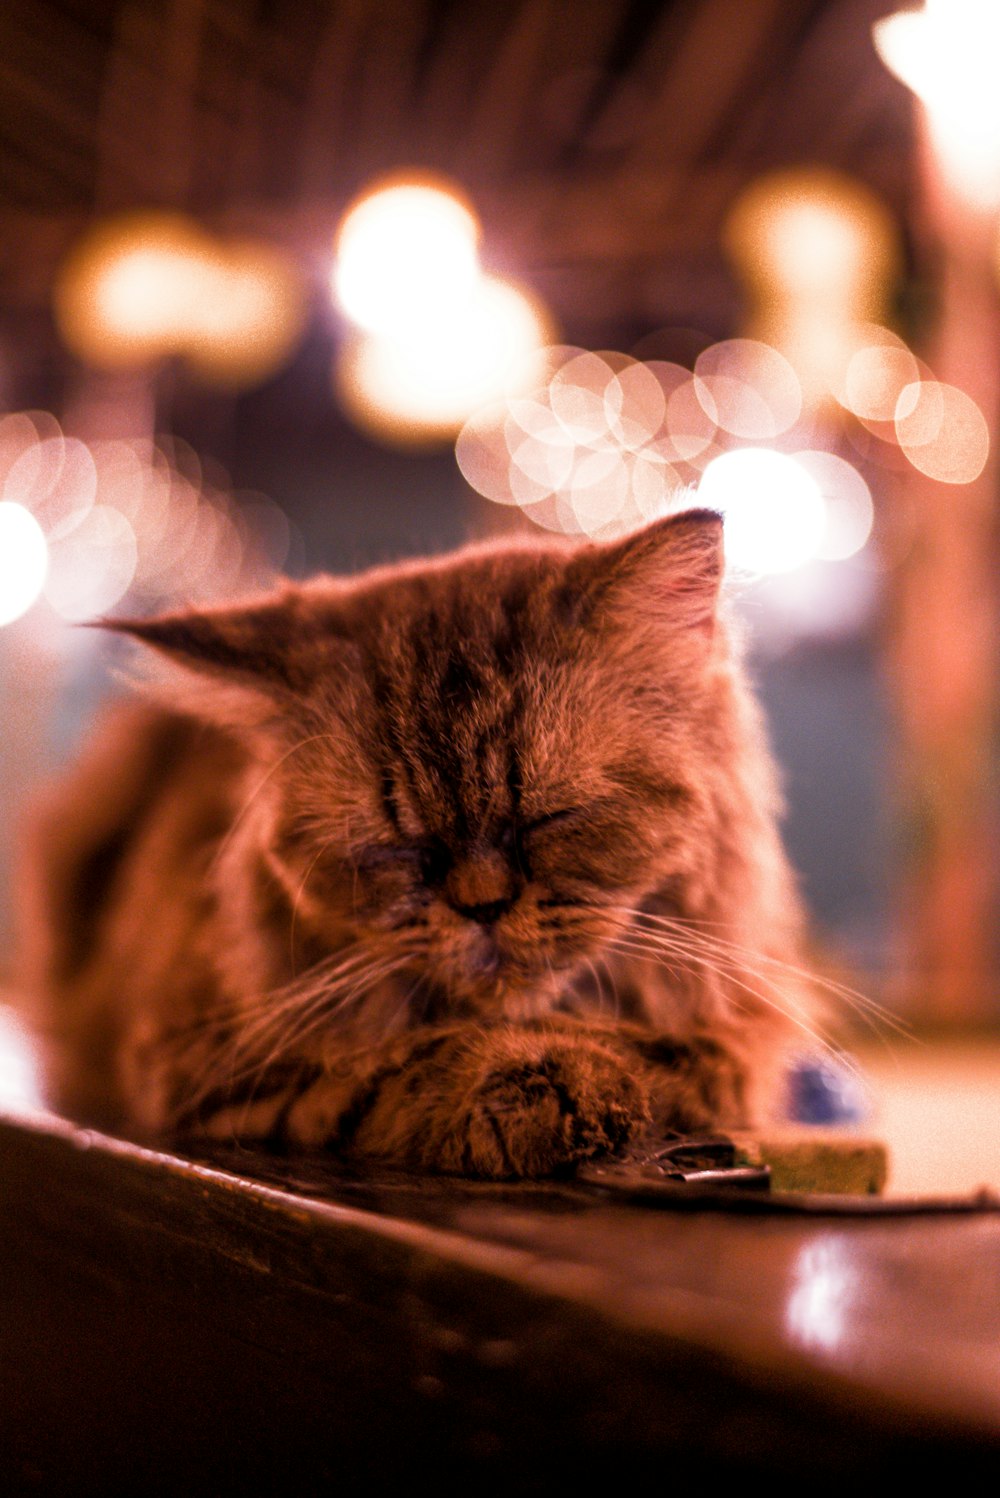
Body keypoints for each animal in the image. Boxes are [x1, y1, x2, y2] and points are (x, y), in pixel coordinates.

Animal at [17, 509, 814, 1174]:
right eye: (397, 846)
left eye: (550, 818)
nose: (482, 906)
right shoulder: (205, 1065)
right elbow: (385, 1069)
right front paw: (545, 1083)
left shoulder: (743, 1042)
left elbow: (672, 1059)